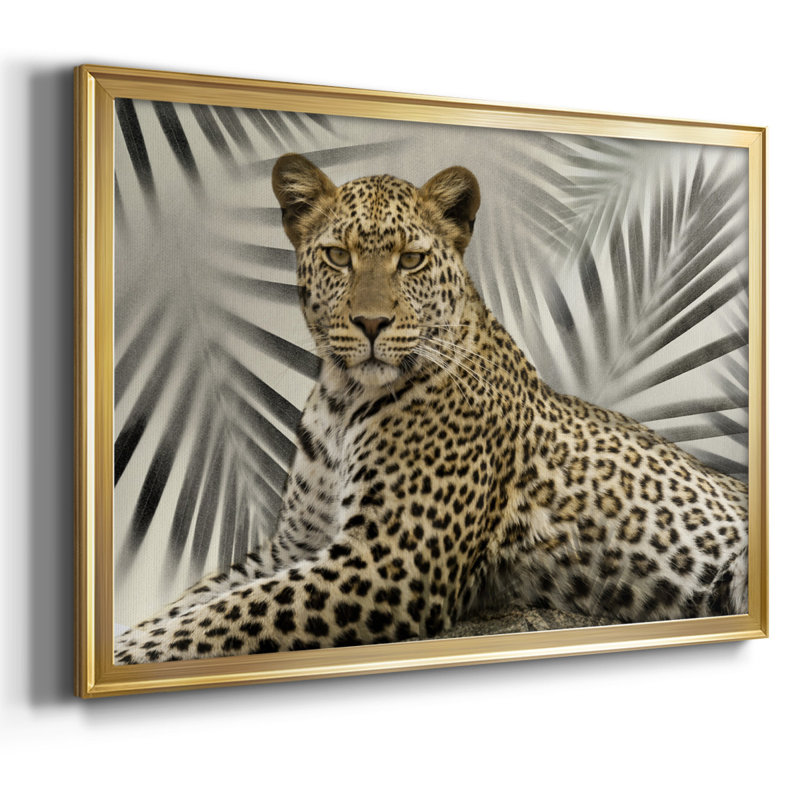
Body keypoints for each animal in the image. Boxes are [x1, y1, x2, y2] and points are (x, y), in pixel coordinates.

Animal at [114, 153, 748, 664]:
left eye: (412, 260)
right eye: (338, 256)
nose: (371, 323)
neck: (342, 398)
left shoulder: (389, 561)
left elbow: (222, 616)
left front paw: (127, 652)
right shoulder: (294, 545)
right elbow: (200, 600)